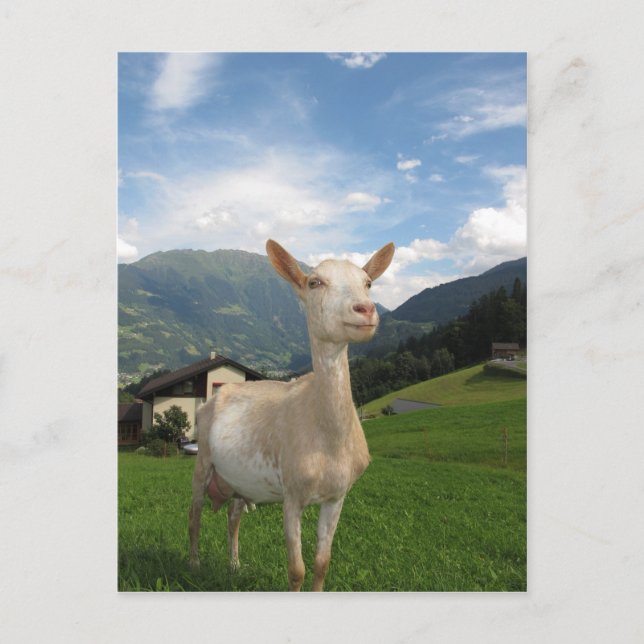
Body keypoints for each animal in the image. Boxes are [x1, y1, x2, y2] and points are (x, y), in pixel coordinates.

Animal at [188, 239, 395, 591]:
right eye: (315, 282)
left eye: (368, 282)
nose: (365, 310)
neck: (326, 440)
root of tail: (212, 398)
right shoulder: (292, 494)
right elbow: (296, 569)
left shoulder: (337, 496)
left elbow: (322, 563)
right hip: (202, 457)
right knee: (195, 513)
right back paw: (194, 564)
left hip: (239, 480)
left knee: (233, 516)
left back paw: (234, 565)